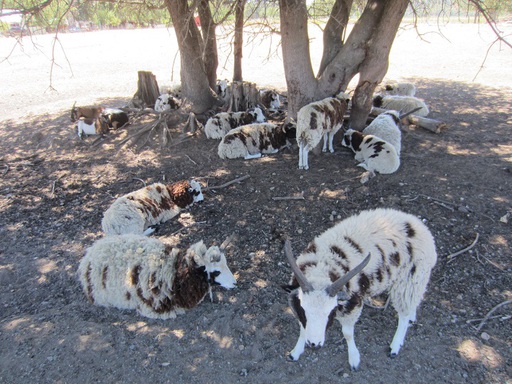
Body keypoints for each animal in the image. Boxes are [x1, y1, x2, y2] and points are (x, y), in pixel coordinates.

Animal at [284, 208, 436, 370]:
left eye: (330, 311)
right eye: (304, 309)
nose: (314, 344)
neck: (322, 270)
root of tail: (420, 226)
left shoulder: (352, 305)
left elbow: (347, 334)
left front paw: (354, 359)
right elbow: (302, 328)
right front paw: (295, 352)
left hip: (410, 279)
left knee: (403, 314)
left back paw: (395, 346)